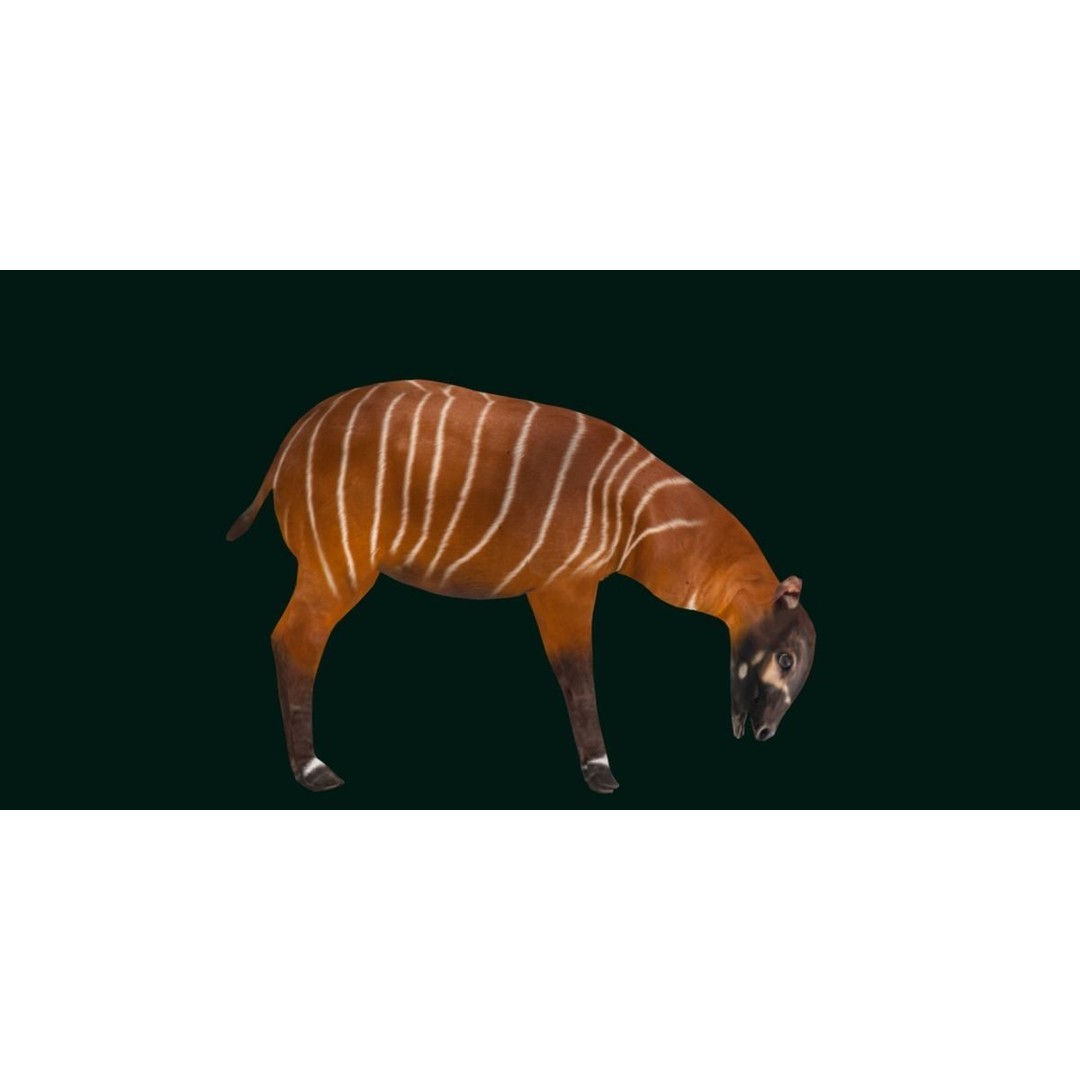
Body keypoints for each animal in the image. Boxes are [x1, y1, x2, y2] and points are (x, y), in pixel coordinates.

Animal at [227, 380, 816, 794]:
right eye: (787, 659)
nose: (765, 733)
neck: (637, 513)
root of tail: (295, 436)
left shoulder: (550, 590)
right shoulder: (566, 585)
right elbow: (579, 677)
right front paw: (602, 774)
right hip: (339, 563)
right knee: (294, 639)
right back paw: (313, 770)